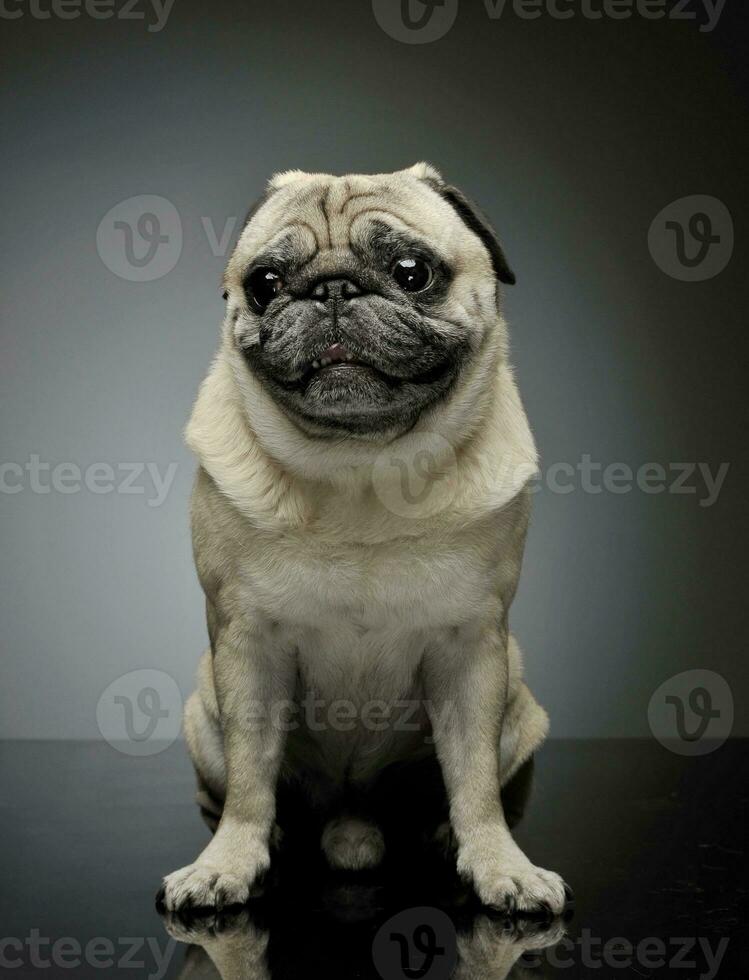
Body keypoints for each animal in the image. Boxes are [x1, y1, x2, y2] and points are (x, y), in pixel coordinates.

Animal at [159, 163, 568, 920]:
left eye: (412, 273)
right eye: (264, 283)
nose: (332, 289)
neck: (362, 466)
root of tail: (353, 821)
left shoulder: (473, 649)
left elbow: (474, 781)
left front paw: (500, 865)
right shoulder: (246, 646)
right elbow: (251, 778)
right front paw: (228, 863)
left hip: (519, 703)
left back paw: (441, 833)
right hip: (203, 710)